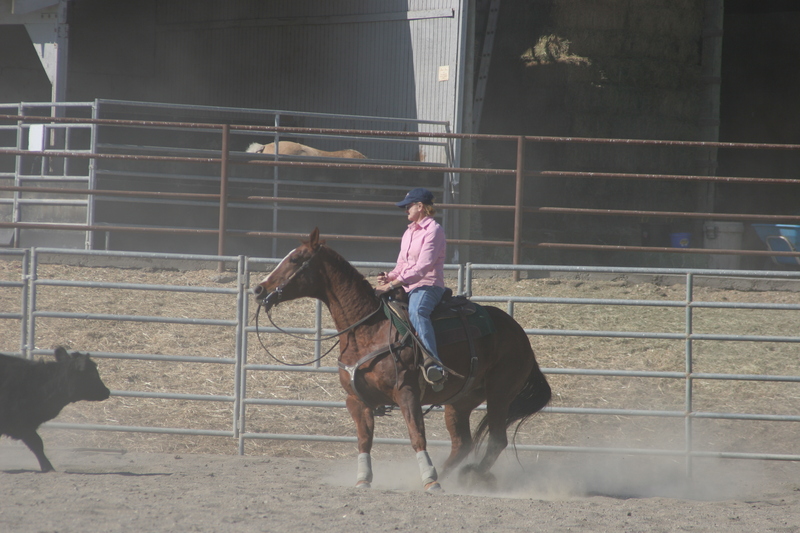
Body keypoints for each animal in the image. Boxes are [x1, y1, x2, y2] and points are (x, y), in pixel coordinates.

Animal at [252, 228, 551, 492]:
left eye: (295, 259)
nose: (258, 289)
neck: (369, 328)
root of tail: (519, 333)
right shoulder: (356, 400)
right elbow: (364, 441)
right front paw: (364, 480)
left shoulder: (407, 393)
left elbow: (417, 436)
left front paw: (430, 482)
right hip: (460, 401)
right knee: (462, 443)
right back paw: (446, 473)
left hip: (500, 392)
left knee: (497, 440)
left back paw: (469, 475)